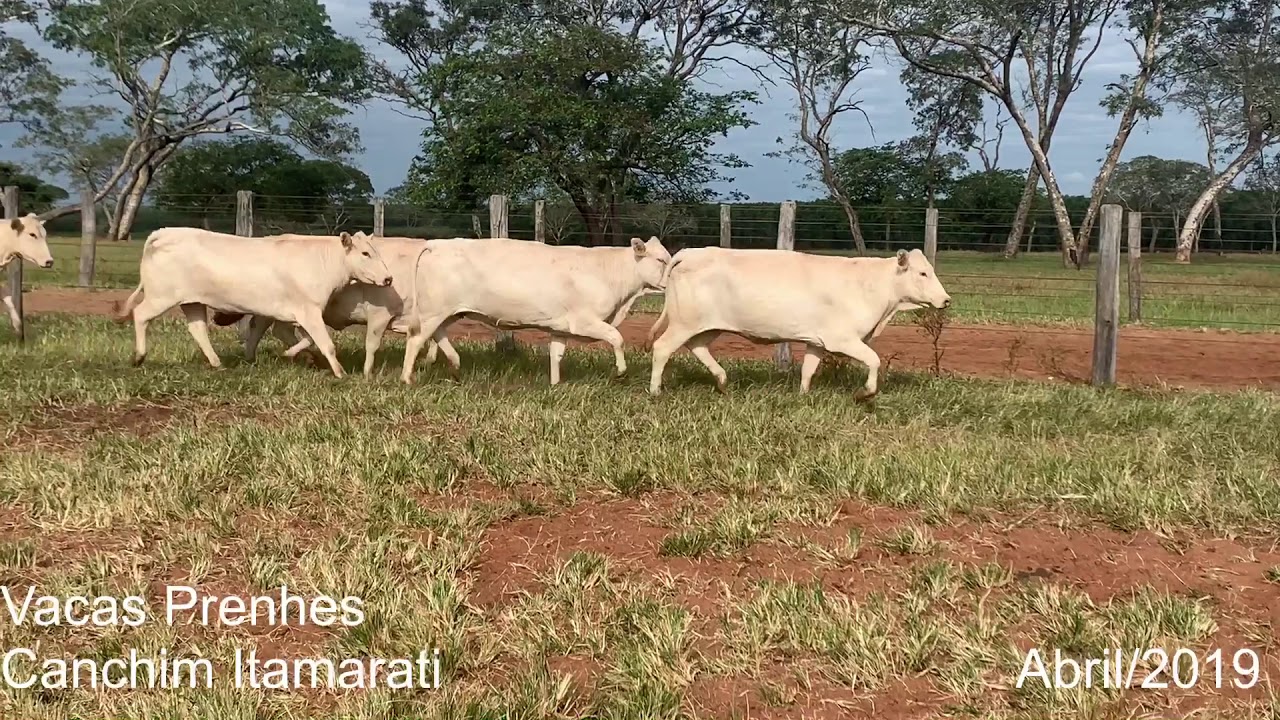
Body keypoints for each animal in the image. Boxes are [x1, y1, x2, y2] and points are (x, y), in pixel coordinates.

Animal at [114, 228, 393, 378]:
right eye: (365, 253)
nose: (388, 278)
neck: (322, 260)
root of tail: (164, 233)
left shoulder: (284, 313)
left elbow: (293, 337)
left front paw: (295, 356)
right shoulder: (309, 311)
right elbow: (325, 343)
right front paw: (339, 372)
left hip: (192, 302)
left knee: (198, 329)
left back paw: (217, 363)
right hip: (161, 296)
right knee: (140, 314)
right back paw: (138, 356)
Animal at [207, 233, 459, 376]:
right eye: (366, 254)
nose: (387, 279)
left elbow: (439, 339)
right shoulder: (380, 313)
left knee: (265, 328)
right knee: (269, 329)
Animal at [400, 235, 672, 385]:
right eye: (661, 260)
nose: (673, 277)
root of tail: (436, 244)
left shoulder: (561, 327)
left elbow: (556, 355)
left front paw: (555, 384)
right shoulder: (584, 321)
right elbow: (617, 337)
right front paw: (621, 371)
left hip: (448, 312)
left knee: (437, 334)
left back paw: (455, 364)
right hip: (434, 312)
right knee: (416, 339)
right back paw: (407, 378)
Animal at [646, 247, 951, 399]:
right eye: (923, 273)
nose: (946, 300)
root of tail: (691, 251)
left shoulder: (817, 341)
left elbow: (808, 369)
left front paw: (803, 395)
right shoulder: (842, 339)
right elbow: (874, 360)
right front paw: (865, 393)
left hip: (708, 325)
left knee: (697, 347)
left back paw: (722, 381)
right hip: (683, 322)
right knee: (662, 348)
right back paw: (655, 391)